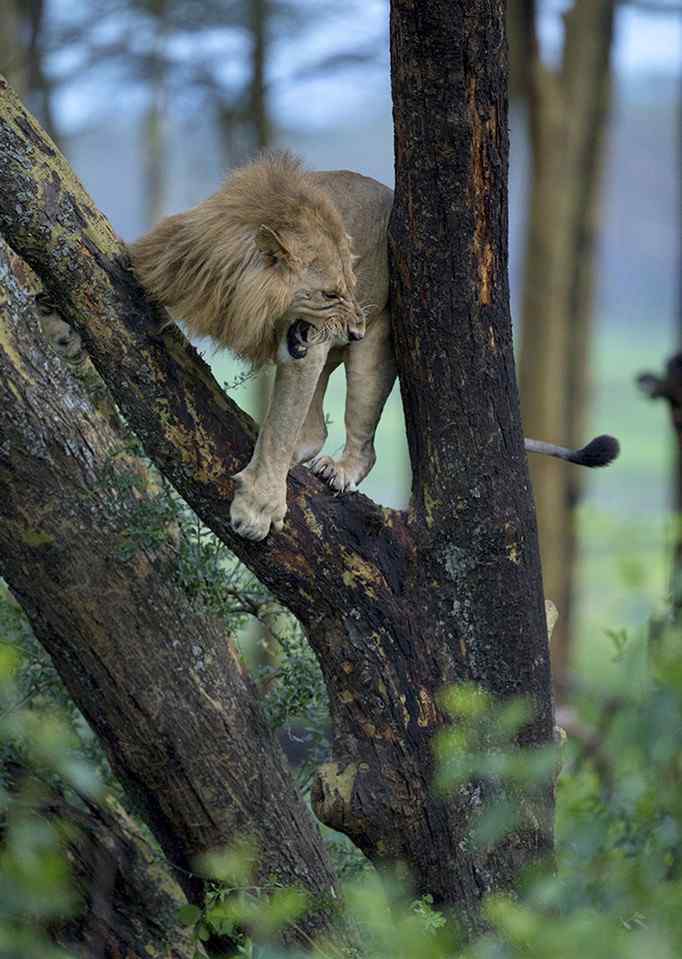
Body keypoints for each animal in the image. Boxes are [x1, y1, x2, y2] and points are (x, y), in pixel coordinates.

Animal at [129, 150, 620, 540]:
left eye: (349, 284)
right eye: (330, 293)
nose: (355, 330)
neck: (237, 297)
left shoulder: (306, 351)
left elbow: (279, 430)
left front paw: (258, 509)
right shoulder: (167, 265)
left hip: (376, 351)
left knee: (359, 443)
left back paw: (337, 469)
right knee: (314, 428)